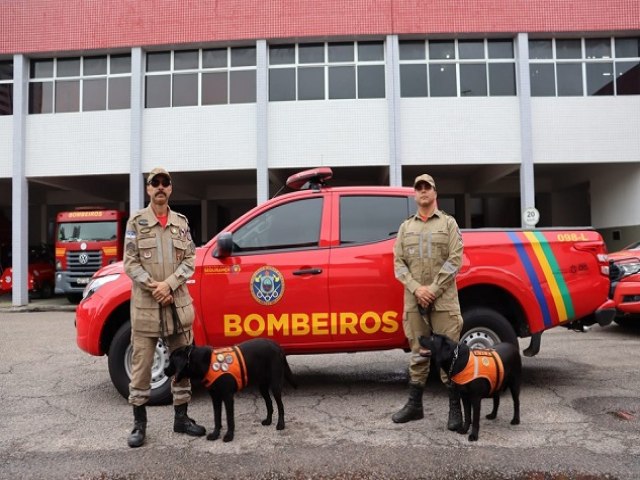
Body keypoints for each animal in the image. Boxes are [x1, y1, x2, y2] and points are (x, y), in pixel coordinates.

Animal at [164, 338, 296, 442]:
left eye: (171, 360)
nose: (164, 371)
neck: (205, 363)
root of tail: (276, 345)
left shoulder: (228, 396)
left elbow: (229, 418)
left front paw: (229, 436)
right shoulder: (215, 398)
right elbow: (217, 417)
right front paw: (215, 434)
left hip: (275, 385)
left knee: (280, 405)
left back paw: (280, 424)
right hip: (262, 386)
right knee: (269, 403)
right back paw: (268, 421)